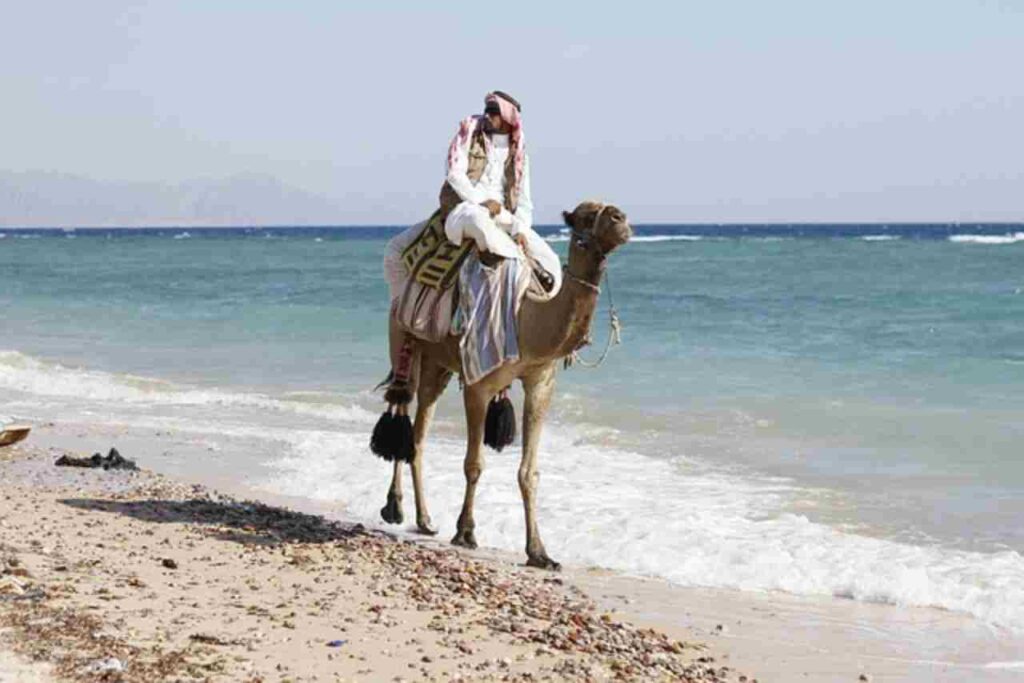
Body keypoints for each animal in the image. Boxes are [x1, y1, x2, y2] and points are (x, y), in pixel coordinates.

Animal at [378, 200, 632, 570]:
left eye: (612, 212)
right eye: (586, 216)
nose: (620, 219)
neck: (526, 317)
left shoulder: (541, 382)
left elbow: (529, 472)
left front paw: (539, 552)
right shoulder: (478, 385)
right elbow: (474, 464)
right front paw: (466, 531)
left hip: (437, 365)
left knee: (419, 432)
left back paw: (425, 520)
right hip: (407, 342)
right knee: (402, 405)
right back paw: (394, 507)